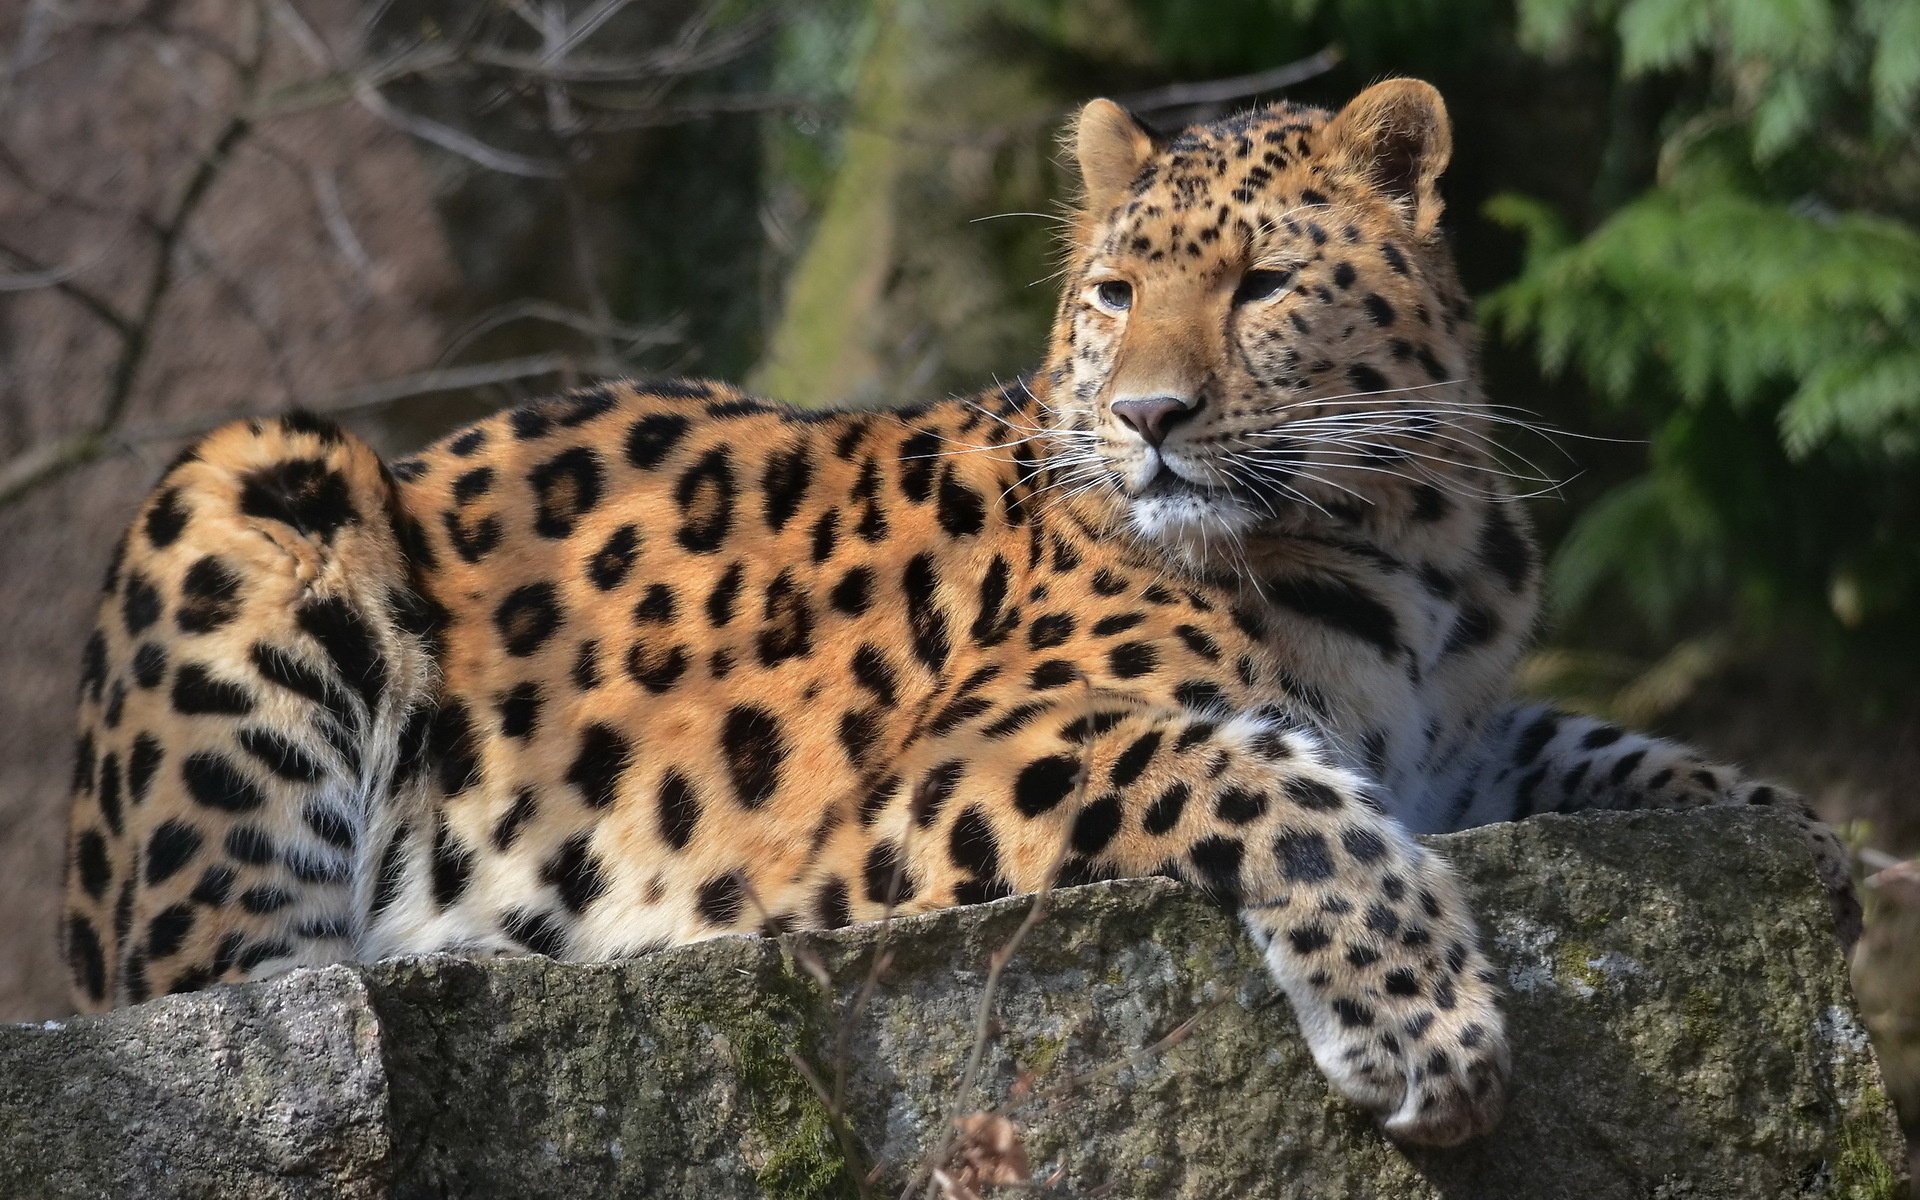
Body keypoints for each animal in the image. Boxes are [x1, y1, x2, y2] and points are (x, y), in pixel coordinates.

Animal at [60, 78, 1852, 1148]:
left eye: (1264, 287)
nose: (1150, 416)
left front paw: (1821, 848)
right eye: (1116, 292)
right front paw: (1421, 1019)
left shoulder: (1468, 741)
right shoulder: (951, 769)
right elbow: (1263, 777)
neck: (1408, 536)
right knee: (245, 990)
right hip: (251, 485)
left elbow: (1632, 755)